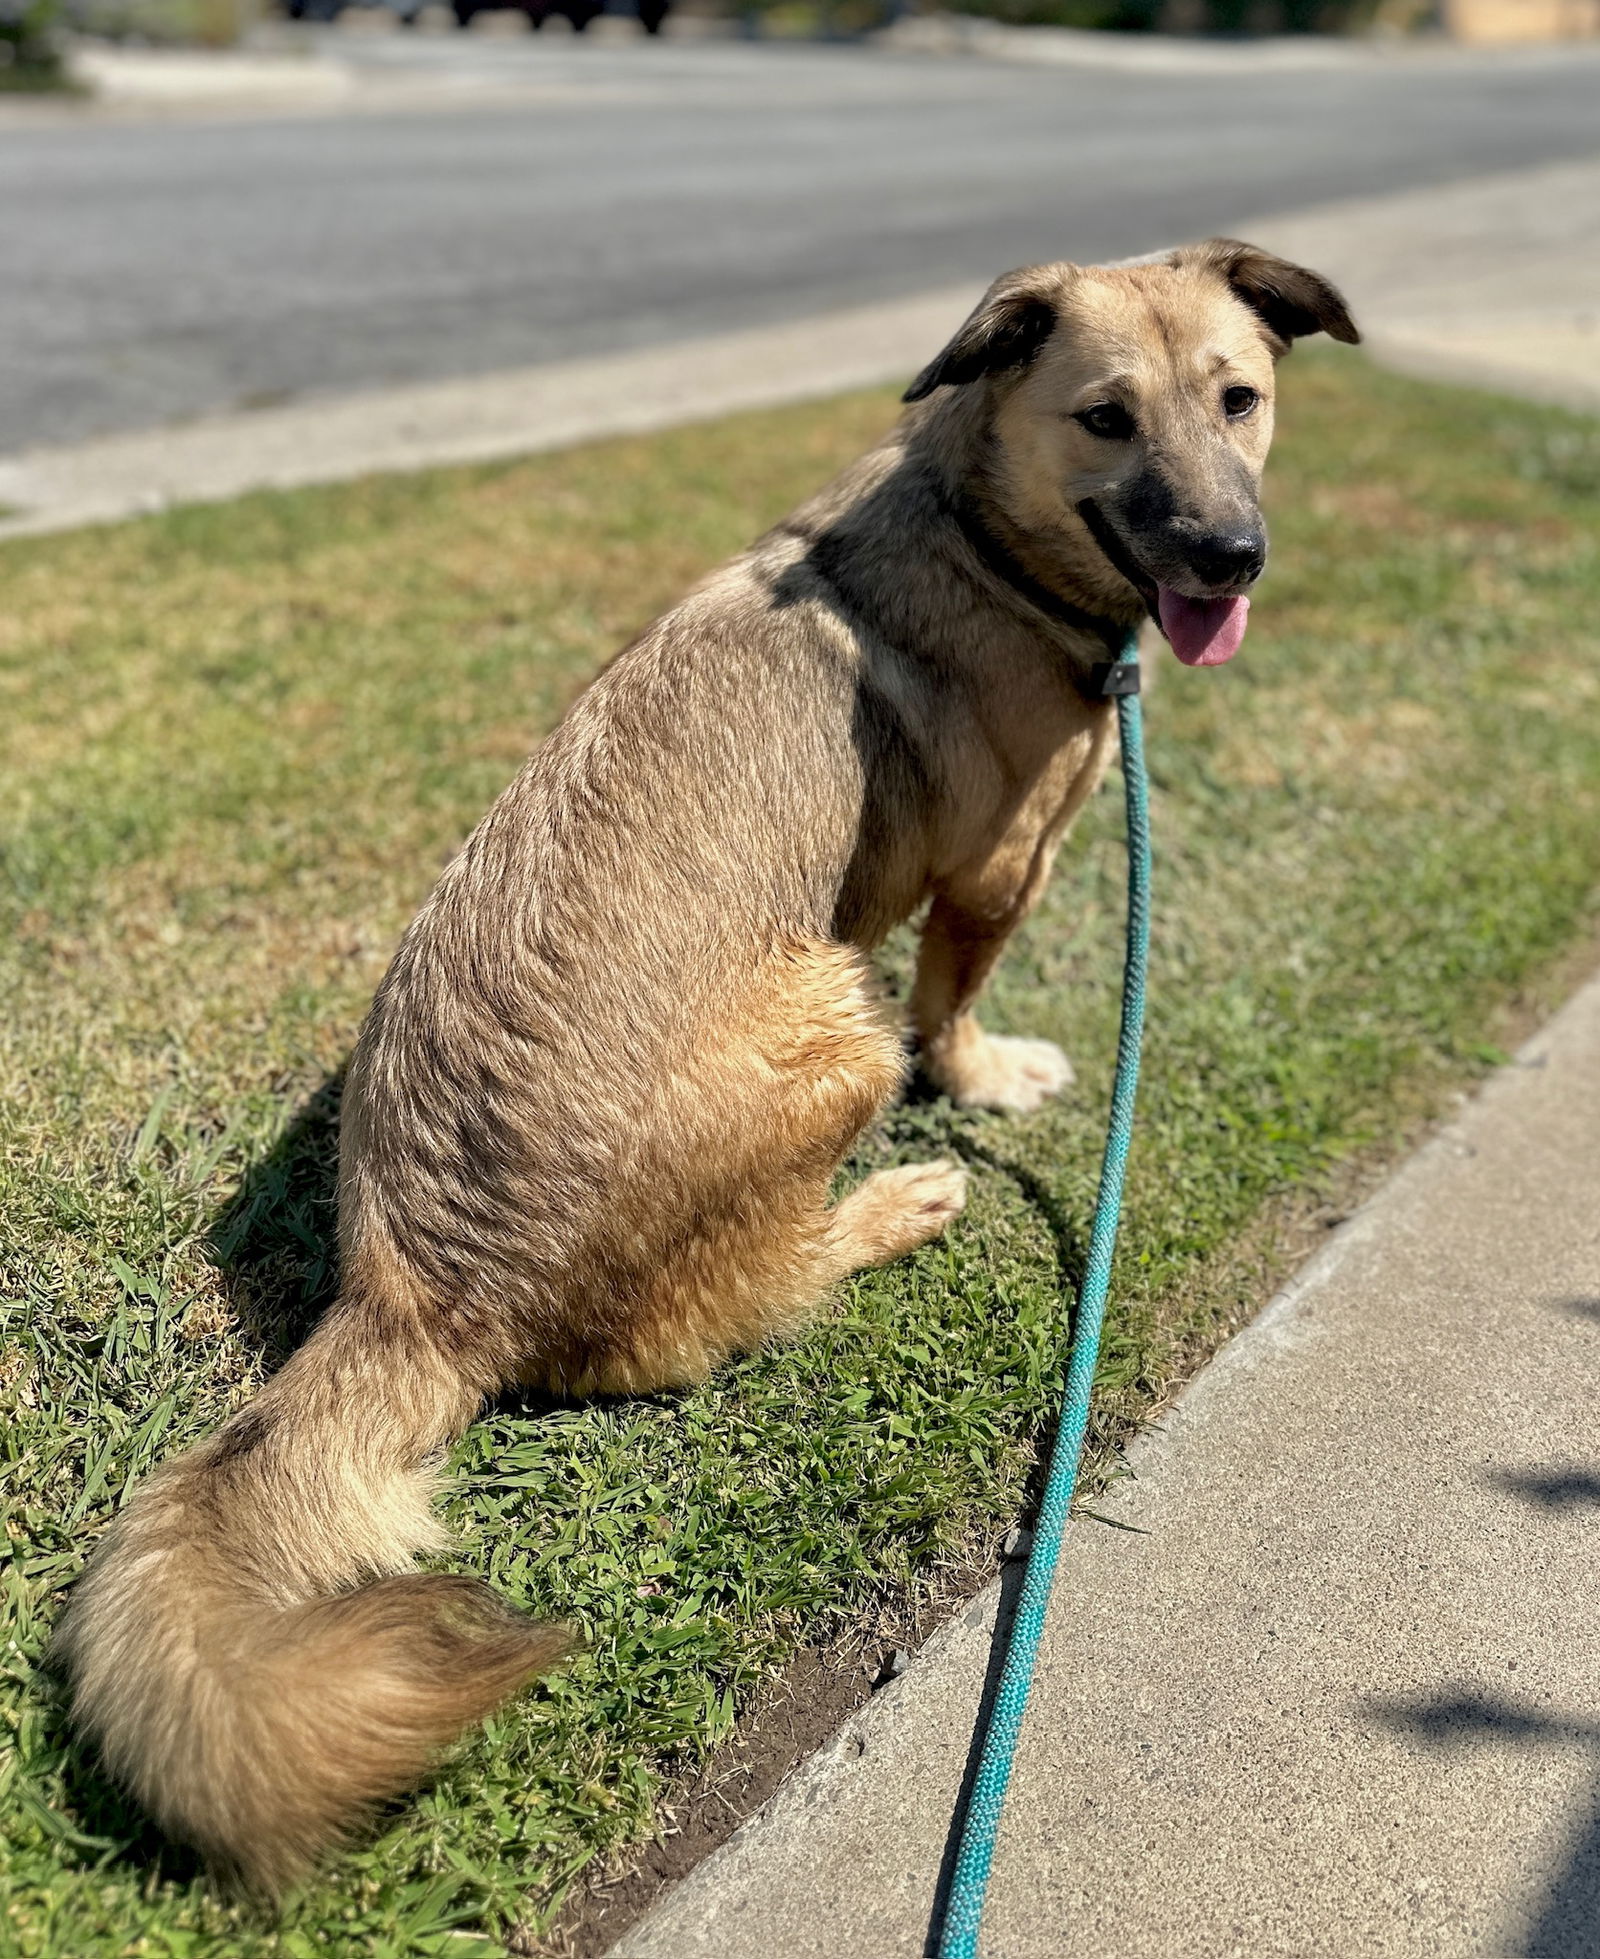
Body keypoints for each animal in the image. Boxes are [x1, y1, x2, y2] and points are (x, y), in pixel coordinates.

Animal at [56, 233, 1355, 1896]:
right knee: (736, 1303)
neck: (983, 534)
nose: (1228, 555)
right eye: (1105, 417)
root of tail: (418, 1289)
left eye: (1237, 397)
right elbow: (956, 1006)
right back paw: (889, 1208)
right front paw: (984, 1079)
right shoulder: (997, 874)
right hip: (836, 1017)